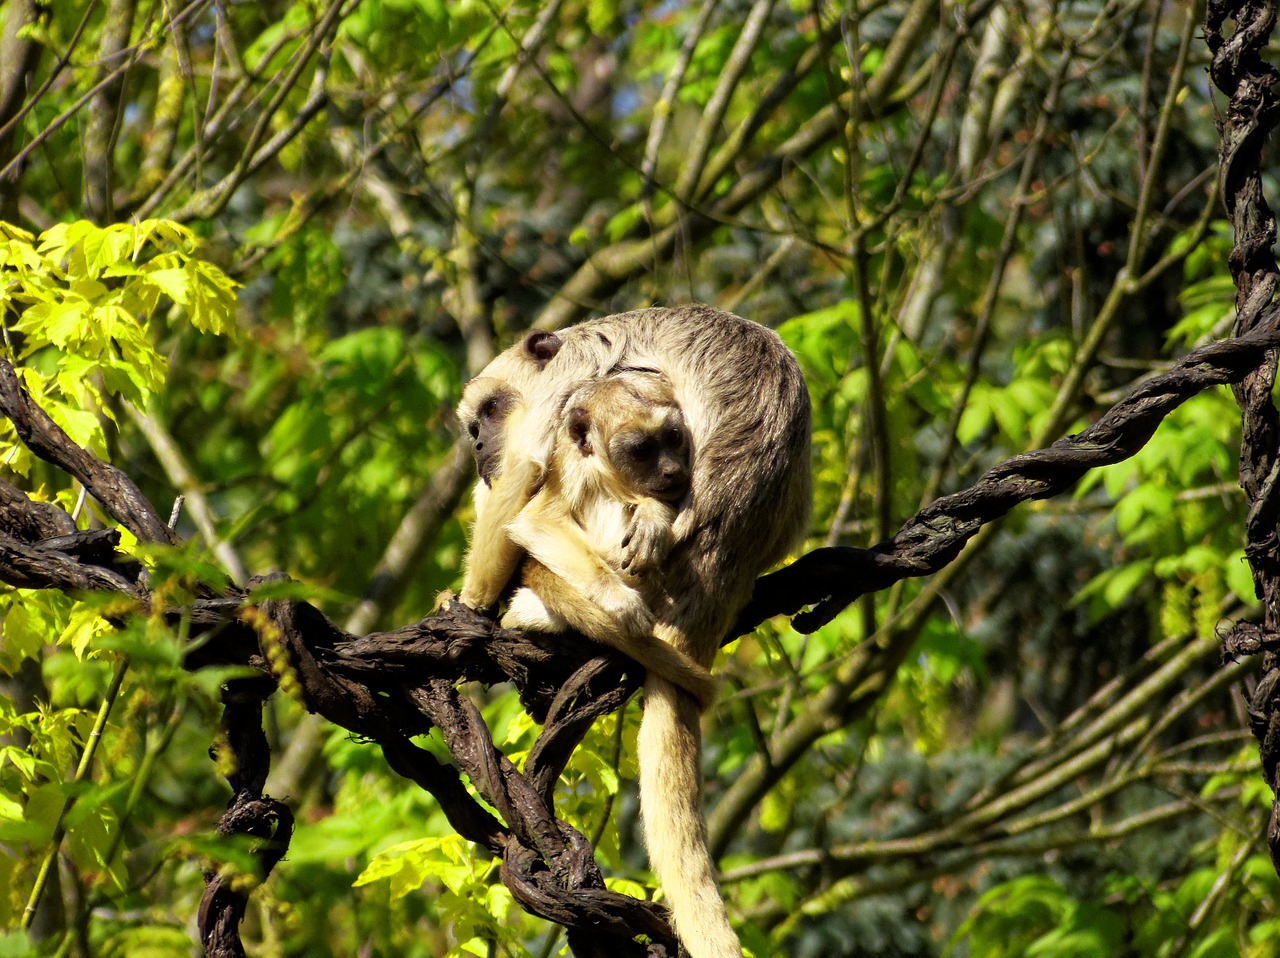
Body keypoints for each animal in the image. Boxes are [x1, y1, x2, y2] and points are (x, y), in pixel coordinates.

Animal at [501, 371, 721, 706]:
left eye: (673, 437)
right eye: (642, 450)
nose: (671, 470)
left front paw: (652, 517)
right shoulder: (571, 463)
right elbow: (537, 521)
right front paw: (619, 601)